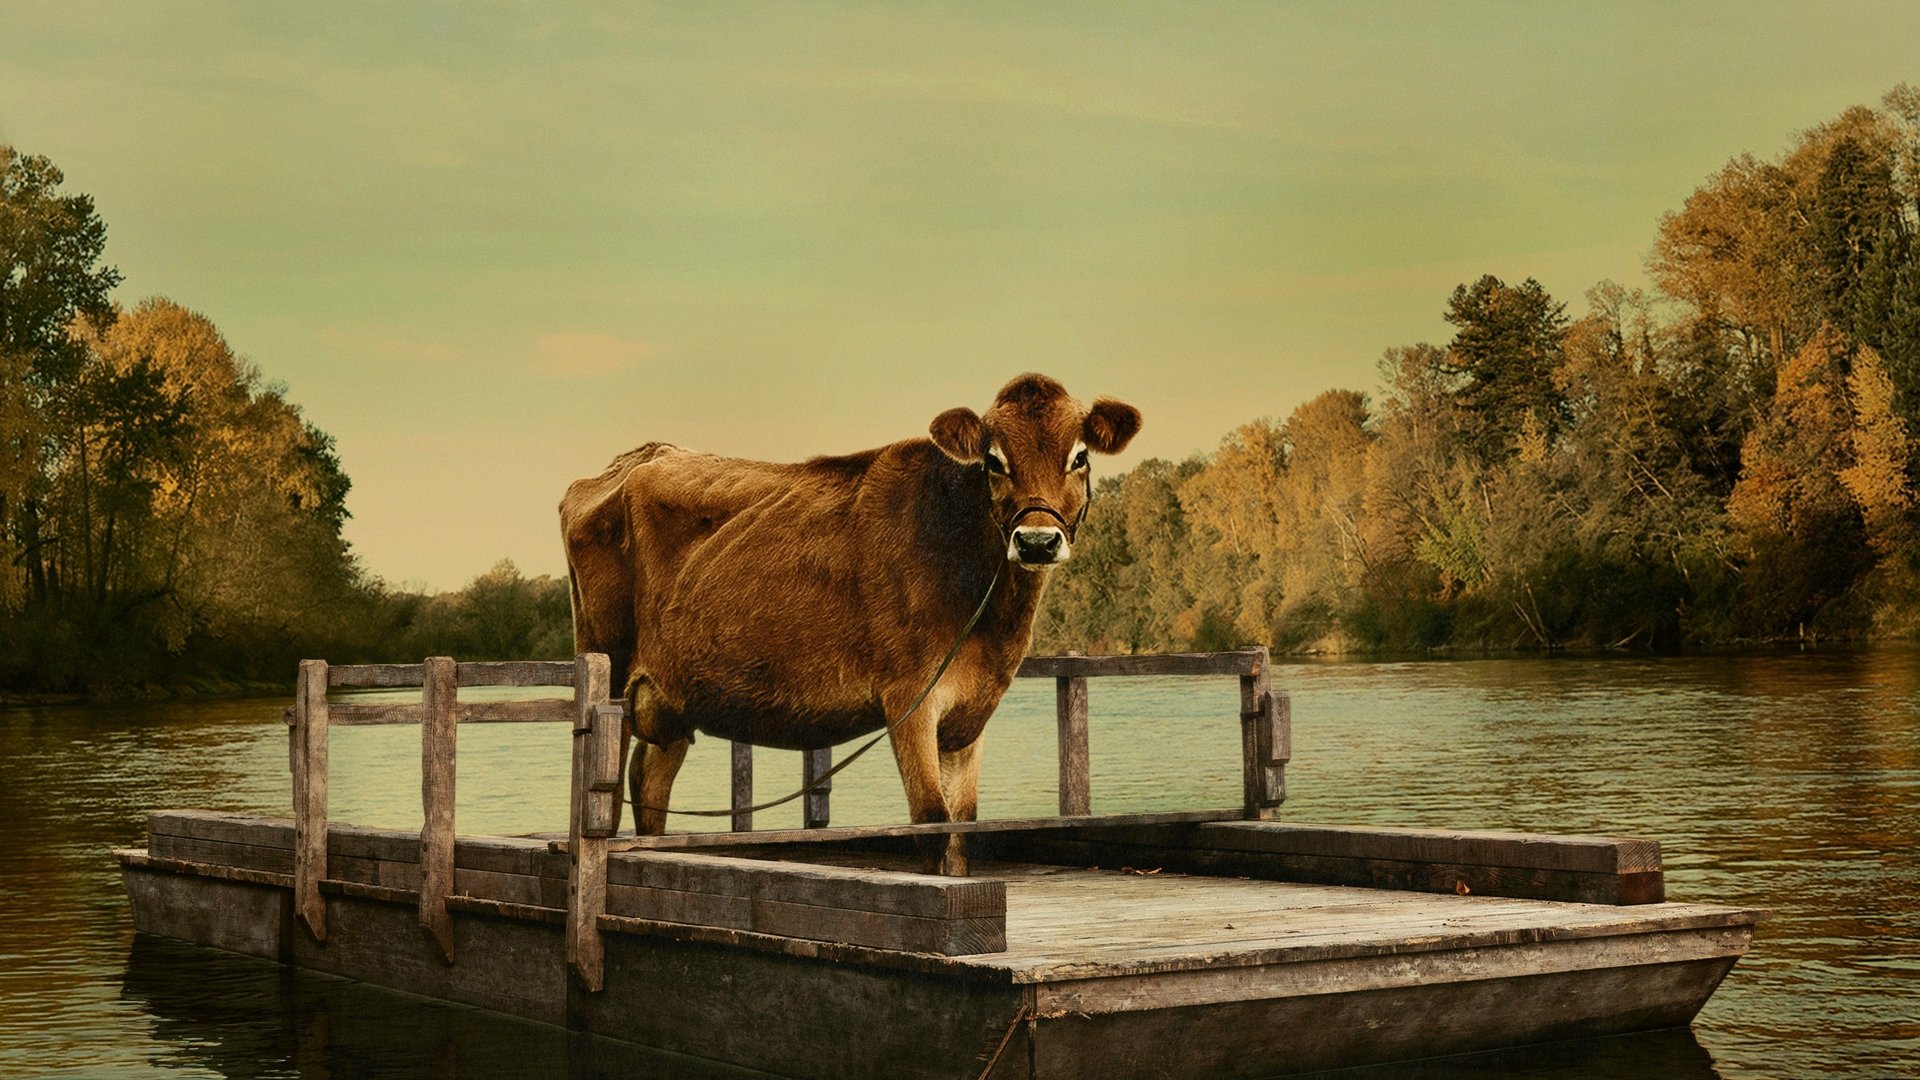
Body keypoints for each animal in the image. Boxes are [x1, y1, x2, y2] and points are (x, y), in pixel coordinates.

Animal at [559, 373, 1140, 874]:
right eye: (994, 460)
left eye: (1079, 456)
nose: (1037, 541)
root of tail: (636, 458)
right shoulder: (910, 698)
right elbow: (931, 823)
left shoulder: (969, 713)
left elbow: (962, 830)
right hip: (609, 671)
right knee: (607, 795)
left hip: (673, 696)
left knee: (650, 781)